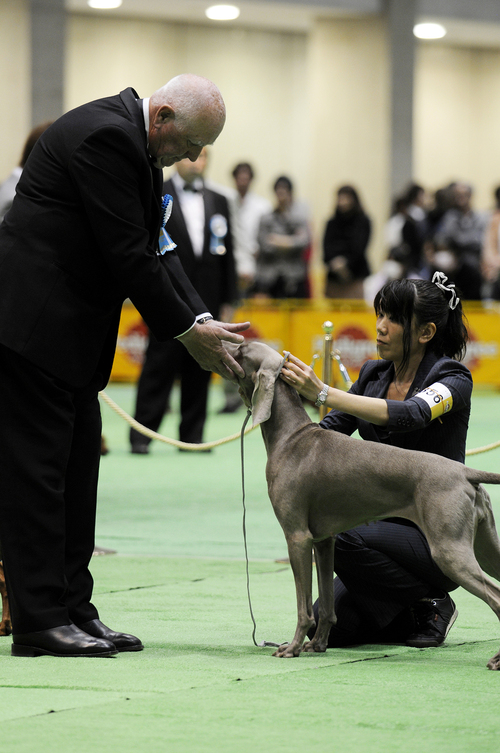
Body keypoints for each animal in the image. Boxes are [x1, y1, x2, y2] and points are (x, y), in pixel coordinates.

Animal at [231, 342, 500, 668]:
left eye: (241, 350)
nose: (226, 343)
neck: (290, 437)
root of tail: (465, 471)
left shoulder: (297, 537)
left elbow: (303, 607)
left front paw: (292, 647)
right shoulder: (324, 540)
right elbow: (327, 606)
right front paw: (317, 645)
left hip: (448, 550)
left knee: (495, 596)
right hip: (485, 548)